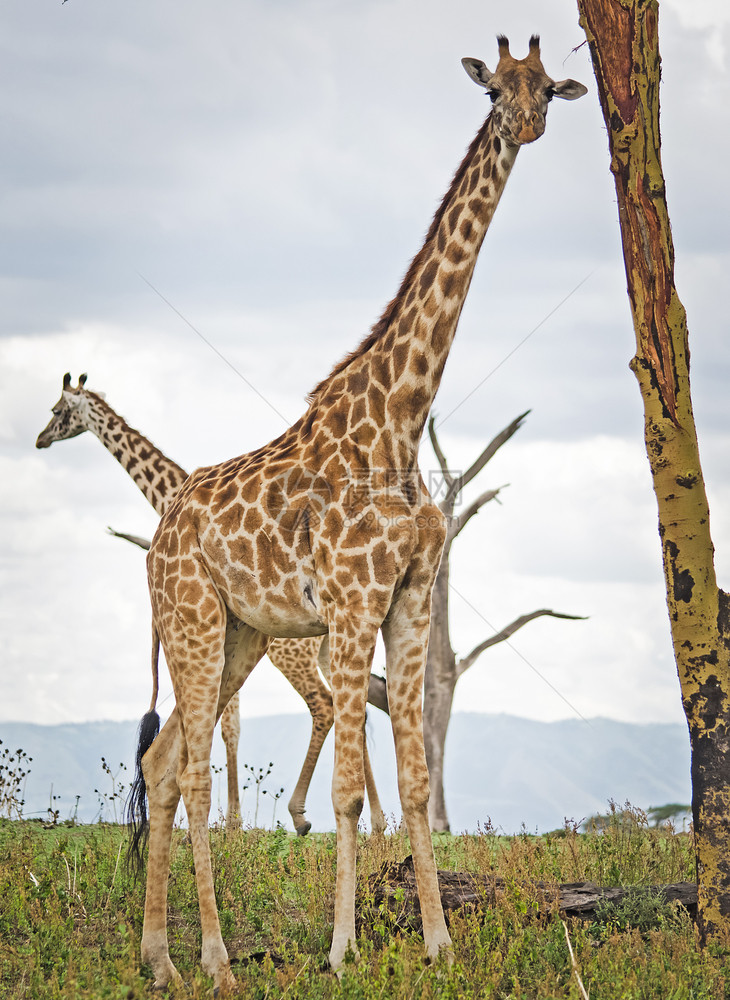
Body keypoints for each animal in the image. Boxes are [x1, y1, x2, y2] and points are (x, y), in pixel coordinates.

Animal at [34, 376, 386, 836]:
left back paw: (304, 815)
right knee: (357, 712)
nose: (40, 439)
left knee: (326, 707)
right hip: (327, 647)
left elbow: (226, 725)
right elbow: (229, 724)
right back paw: (378, 823)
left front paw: (230, 821)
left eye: (58, 411)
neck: (168, 493)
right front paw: (230, 817)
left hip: (293, 654)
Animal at [128, 35, 584, 988]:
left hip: (240, 631)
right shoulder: (349, 605)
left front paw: (439, 944)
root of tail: (156, 541)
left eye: (547, 88)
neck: (401, 420)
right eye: (496, 90)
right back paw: (216, 961)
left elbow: (411, 782)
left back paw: (160, 959)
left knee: (163, 759)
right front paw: (341, 951)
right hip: (193, 620)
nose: (528, 123)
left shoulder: (406, 602)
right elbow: (343, 793)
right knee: (191, 770)